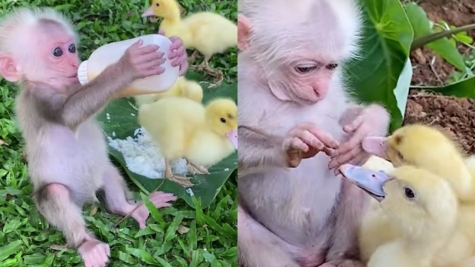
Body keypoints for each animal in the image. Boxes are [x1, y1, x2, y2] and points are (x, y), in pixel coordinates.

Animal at [0, 6, 189, 267]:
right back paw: (87, 244)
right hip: (54, 196)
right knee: (55, 193)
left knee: (108, 172)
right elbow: (69, 114)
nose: (75, 62)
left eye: (71, 48)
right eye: (57, 52)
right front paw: (127, 66)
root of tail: (85, 200)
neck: (58, 85)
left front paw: (179, 55)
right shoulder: (39, 99)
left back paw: (134, 209)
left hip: (101, 174)